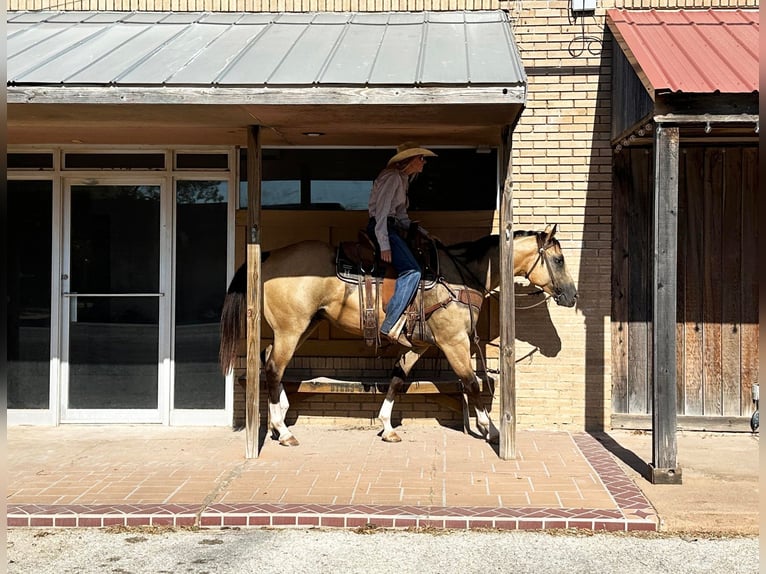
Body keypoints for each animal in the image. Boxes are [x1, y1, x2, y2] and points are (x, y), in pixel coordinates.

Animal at [219, 224, 580, 446]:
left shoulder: (418, 345)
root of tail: (268, 257)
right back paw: (282, 430)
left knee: (270, 363)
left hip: (303, 326)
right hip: (291, 329)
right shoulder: (454, 342)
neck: (461, 278)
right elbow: (472, 383)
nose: (572, 297)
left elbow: (397, 379)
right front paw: (488, 428)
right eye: (559, 259)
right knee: (273, 369)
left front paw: (387, 426)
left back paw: (278, 421)